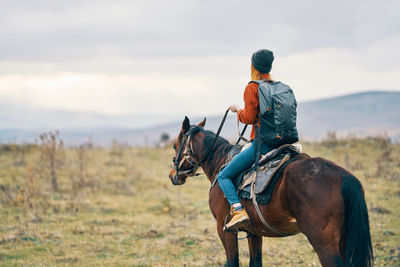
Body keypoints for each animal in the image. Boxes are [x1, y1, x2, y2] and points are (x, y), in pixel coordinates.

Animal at [168, 118, 372, 267]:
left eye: (175, 145)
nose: (172, 175)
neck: (221, 164)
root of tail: (345, 177)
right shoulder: (254, 232)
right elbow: (255, 262)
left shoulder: (225, 230)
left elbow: (233, 262)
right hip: (343, 241)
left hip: (324, 244)